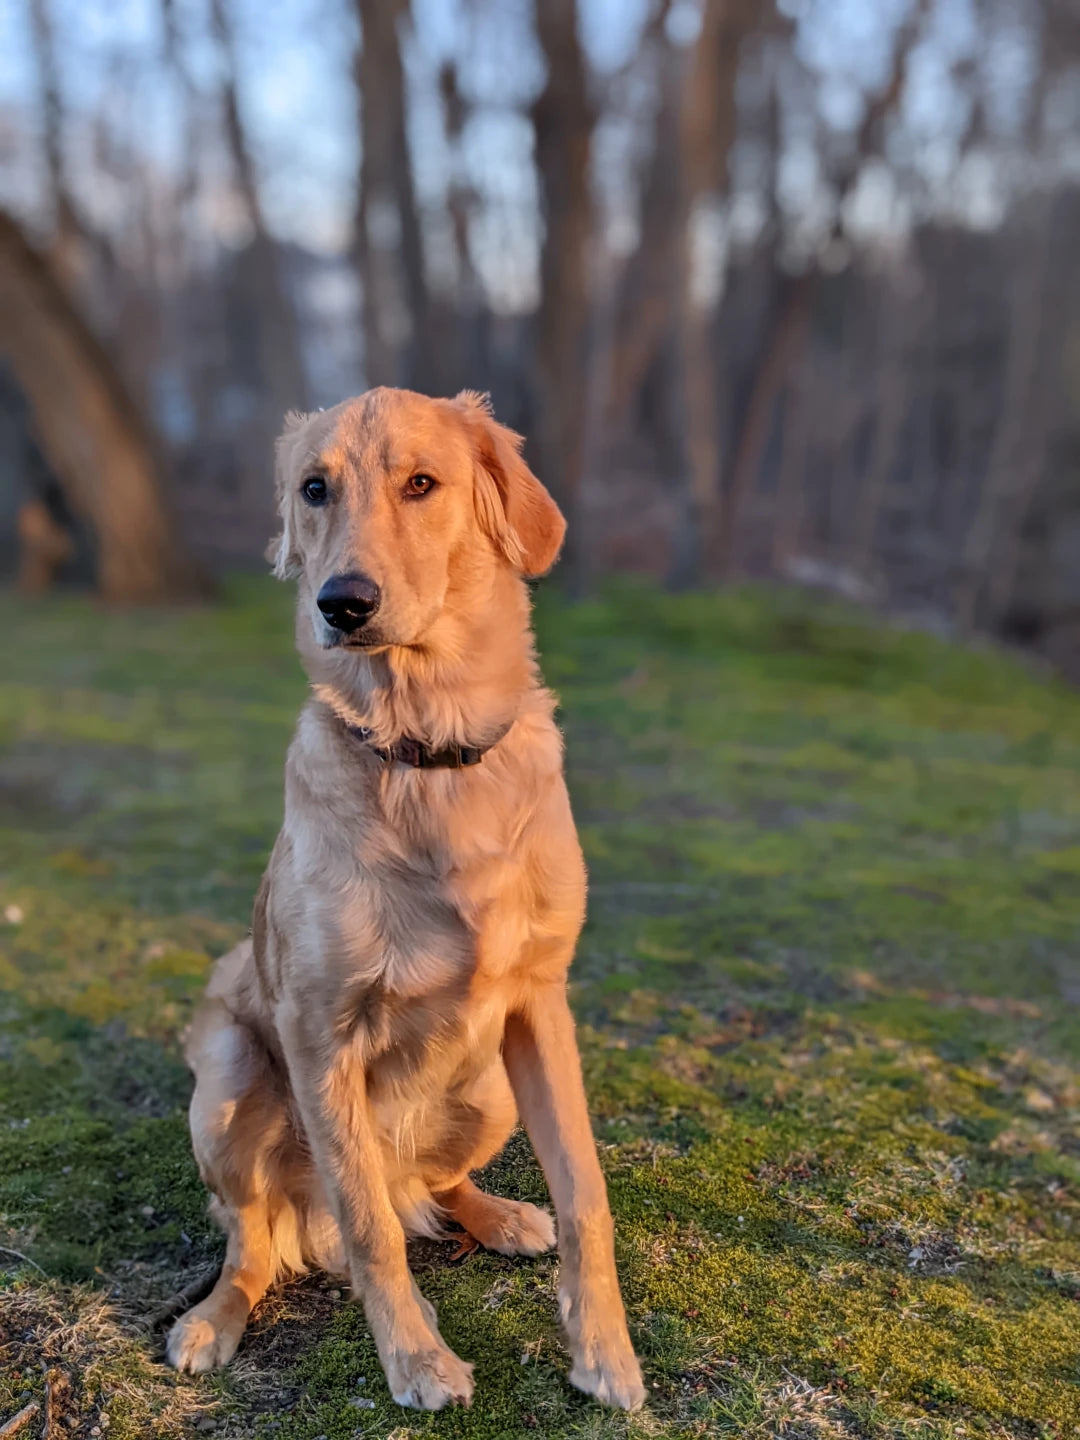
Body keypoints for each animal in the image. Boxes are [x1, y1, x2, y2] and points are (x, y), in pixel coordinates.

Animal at [164, 388, 648, 1411]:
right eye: (314, 489)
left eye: (422, 483)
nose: (342, 603)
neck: (425, 751)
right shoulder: (317, 1033)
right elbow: (370, 1231)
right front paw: (419, 1361)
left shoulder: (541, 1003)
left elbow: (586, 1191)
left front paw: (607, 1354)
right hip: (225, 1086)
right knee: (262, 1241)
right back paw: (212, 1321)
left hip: (493, 1088)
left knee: (434, 1186)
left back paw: (500, 1215)